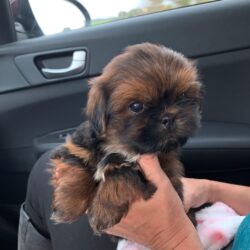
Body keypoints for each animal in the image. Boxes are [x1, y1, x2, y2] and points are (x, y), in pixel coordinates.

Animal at [49, 43, 202, 236]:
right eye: (136, 106)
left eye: (182, 96)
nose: (168, 117)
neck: (121, 146)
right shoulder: (77, 146)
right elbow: (76, 164)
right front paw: (69, 203)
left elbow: (121, 175)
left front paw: (103, 210)